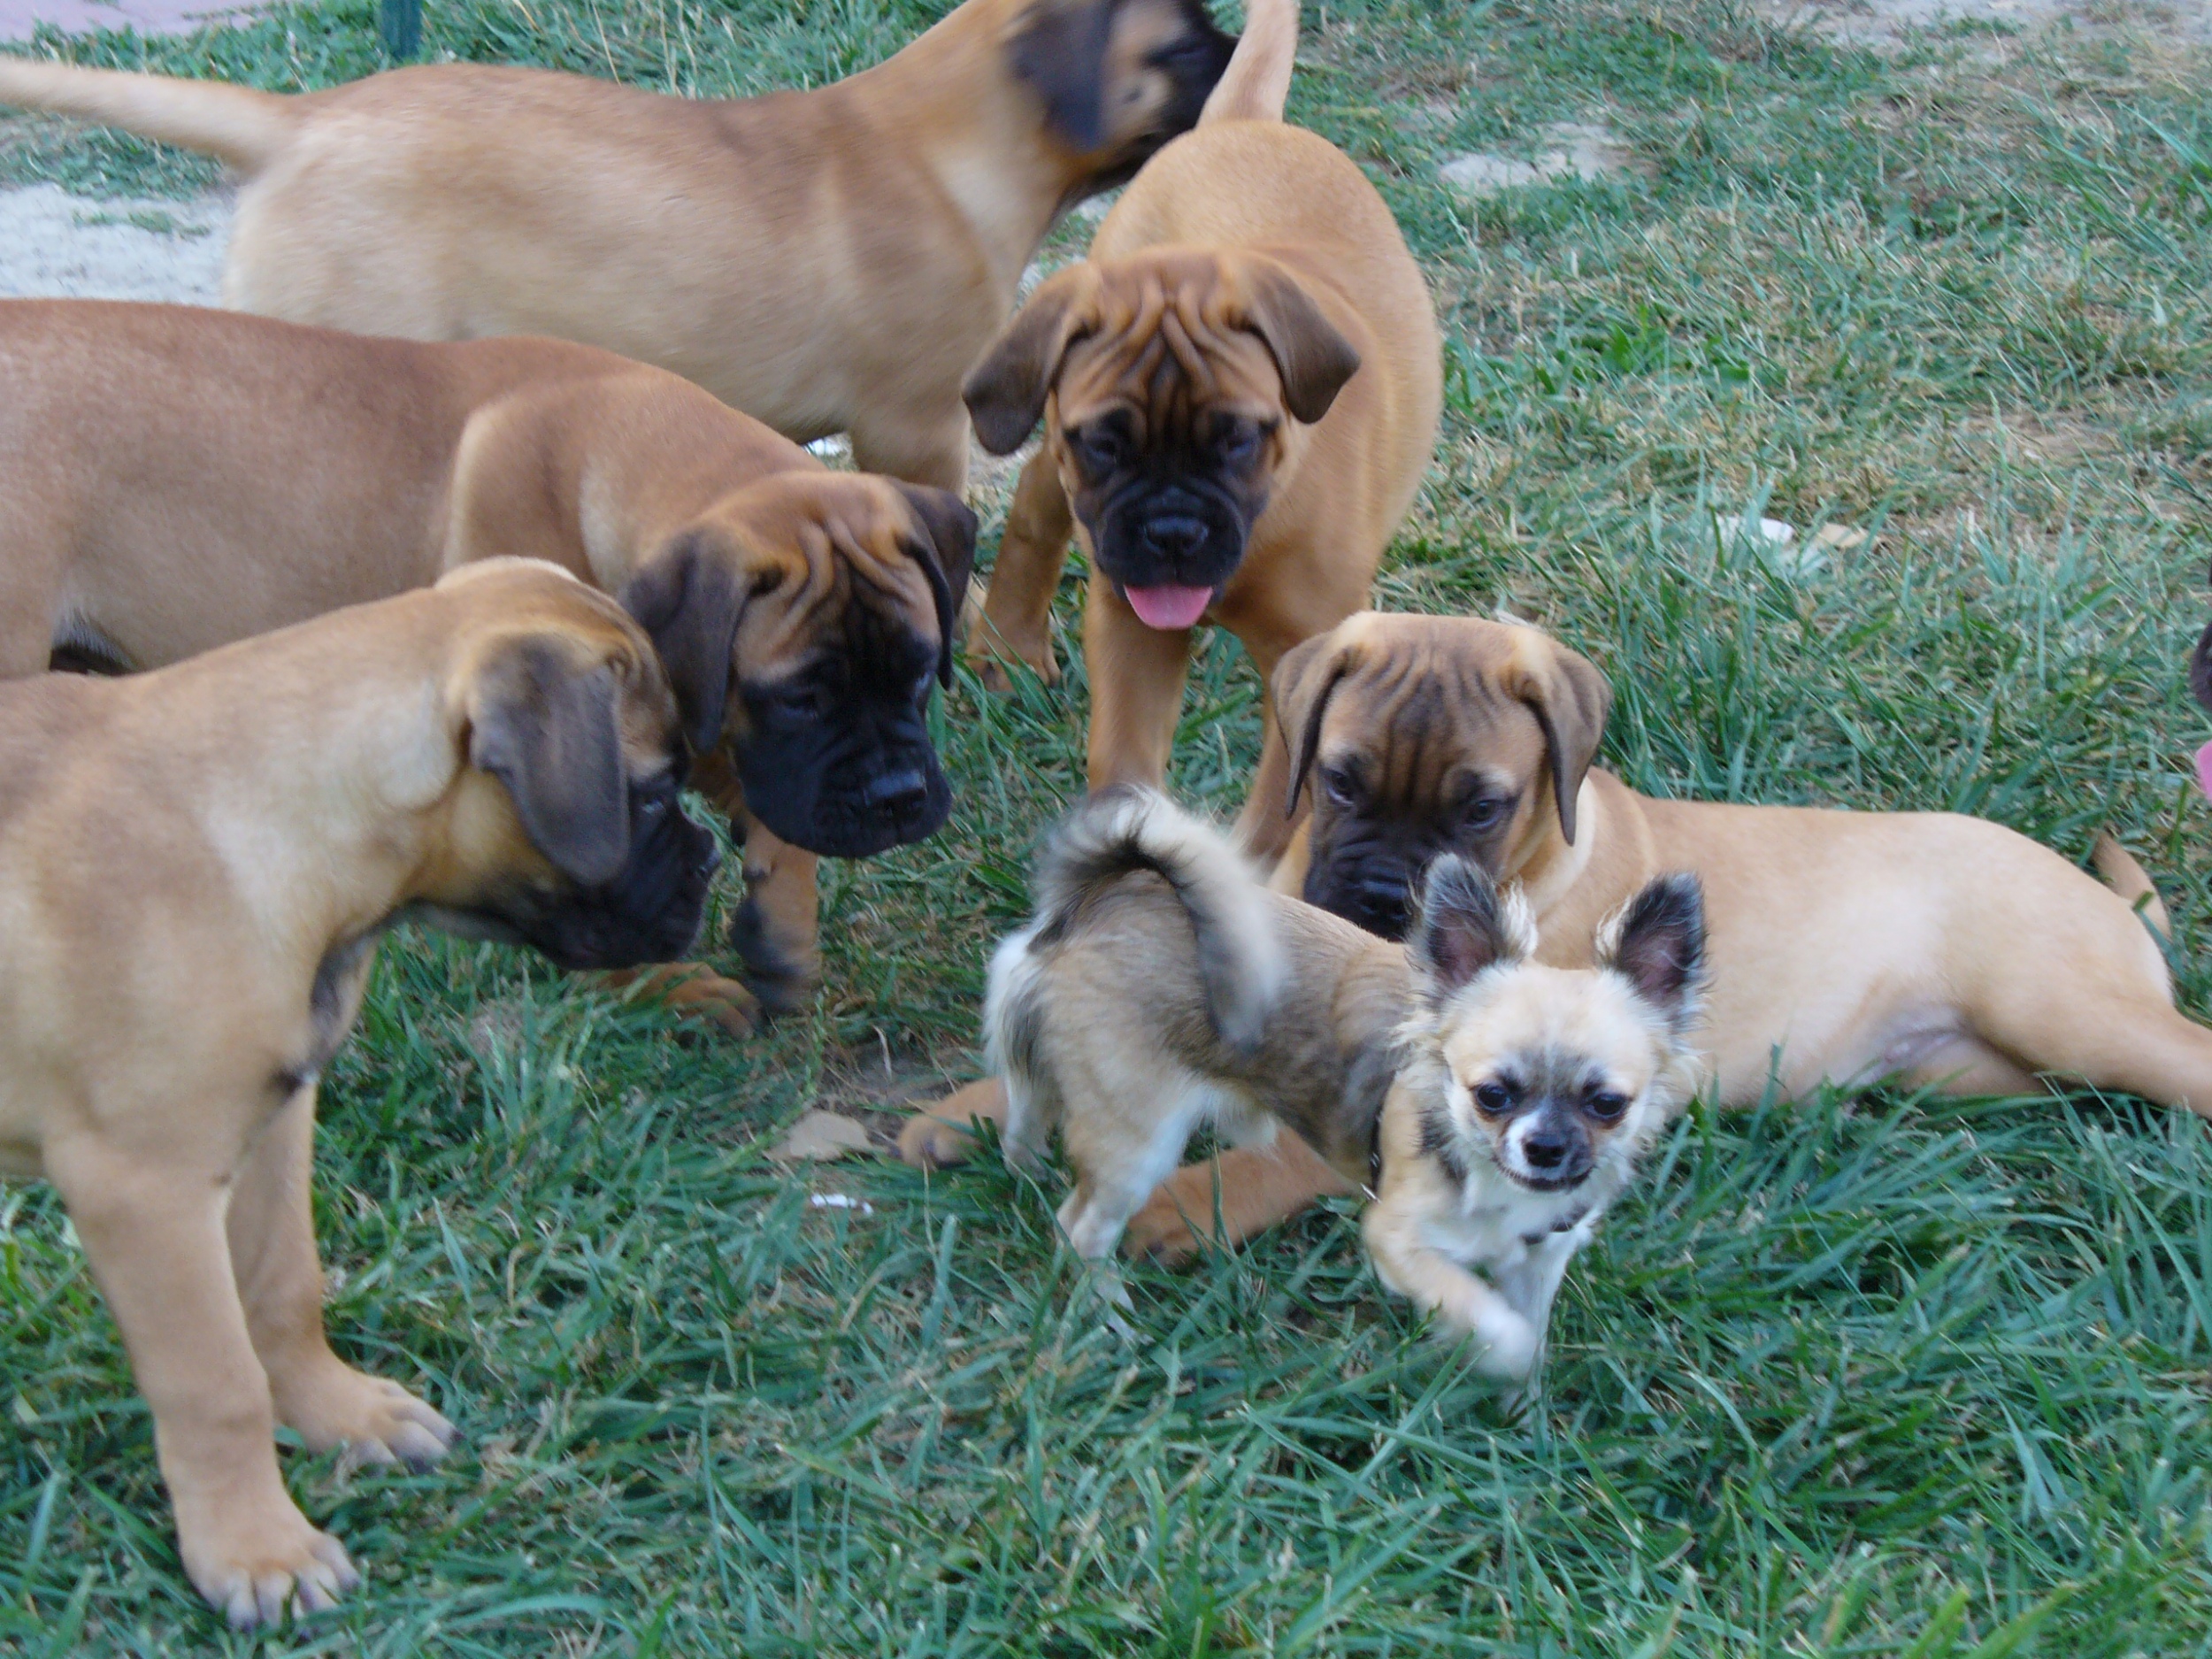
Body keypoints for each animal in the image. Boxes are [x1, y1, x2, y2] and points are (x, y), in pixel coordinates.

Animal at [0, 299, 976, 1030]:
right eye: (799, 698)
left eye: (920, 669)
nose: (899, 798)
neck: (614, 452)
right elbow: (606, 874)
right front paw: (660, 988)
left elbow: (766, 810)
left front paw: (781, 925)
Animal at [0, 560, 717, 1627]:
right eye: (655, 792)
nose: (709, 860)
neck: (261, 826)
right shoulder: (147, 1192)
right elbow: (216, 1383)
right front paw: (257, 1550)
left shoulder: (273, 1124)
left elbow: (283, 1291)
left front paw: (338, 1415)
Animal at [959, 0, 1440, 858]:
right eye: (1105, 444)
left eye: (1238, 440)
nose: (1172, 531)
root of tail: (1243, 121)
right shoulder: (1130, 627)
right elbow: (1124, 762)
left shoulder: (1310, 673)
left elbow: (1279, 816)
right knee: (1036, 497)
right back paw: (1008, 644)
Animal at [985, 789, 1701, 1379]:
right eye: (1491, 1095)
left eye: (1607, 1104)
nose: (1546, 1147)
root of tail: (1109, 897)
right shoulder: (1397, 1240)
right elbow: (1492, 1319)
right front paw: (1496, 1356)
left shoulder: (1539, 1260)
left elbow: (1529, 1325)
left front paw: (1523, 1416)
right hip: (1140, 1144)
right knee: (1079, 1227)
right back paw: (1109, 1316)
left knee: (1027, 1108)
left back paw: (1027, 1167)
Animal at [1123, 608, 2212, 1255]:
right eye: (1339, 780)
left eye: (1482, 808)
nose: (1388, 897)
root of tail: (2109, 902)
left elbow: (1280, 1155)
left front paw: (1167, 1207)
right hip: (1982, 1069)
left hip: (2064, 1008)